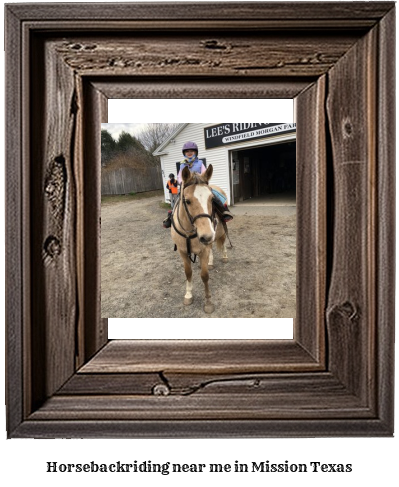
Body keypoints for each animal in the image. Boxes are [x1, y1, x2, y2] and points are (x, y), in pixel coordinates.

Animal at [171, 166, 230, 314]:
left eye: (211, 199)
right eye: (187, 201)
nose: (207, 235)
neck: (189, 232)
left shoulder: (204, 249)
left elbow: (204, 275)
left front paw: (208, 302)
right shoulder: (182, 252)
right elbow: (188, 273)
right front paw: (188, 295)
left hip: (220, 232)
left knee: (223, 242)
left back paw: (224, 257)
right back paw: (210, 262)